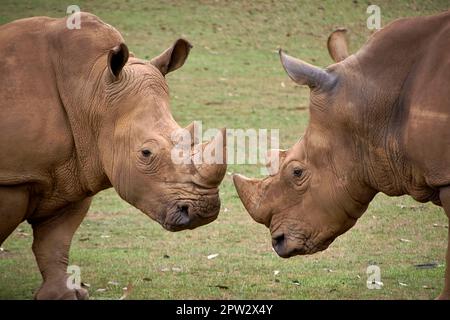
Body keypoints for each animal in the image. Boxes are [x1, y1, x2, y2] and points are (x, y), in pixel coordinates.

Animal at [0, 13, 227, 300]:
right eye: (146, 153)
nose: (203, 212)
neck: (91, 89)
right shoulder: (12, 178)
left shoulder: (75, 170)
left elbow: (55, 243)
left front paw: (64, 296)